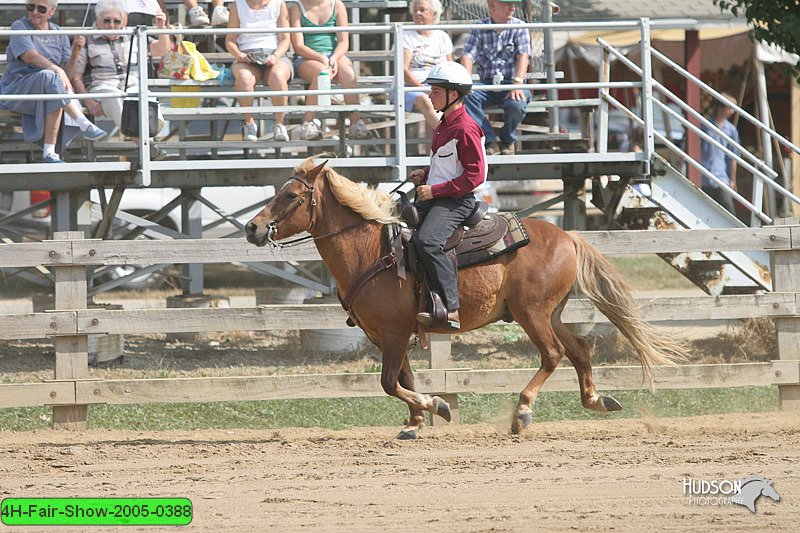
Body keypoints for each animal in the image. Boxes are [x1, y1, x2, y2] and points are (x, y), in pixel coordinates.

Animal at [245, 156, 688, 438]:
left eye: (291, 196)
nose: (252, 228)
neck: (371, 250)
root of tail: (568, 236)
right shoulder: (389, 335)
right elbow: (404, 377)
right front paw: (415, 422)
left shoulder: (393, 332)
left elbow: (389, 381)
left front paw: (435, 406)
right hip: (551, 313)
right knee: (578, 348)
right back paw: (597, 400)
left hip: (531, 313)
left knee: (553, 354)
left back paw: (522, 413)